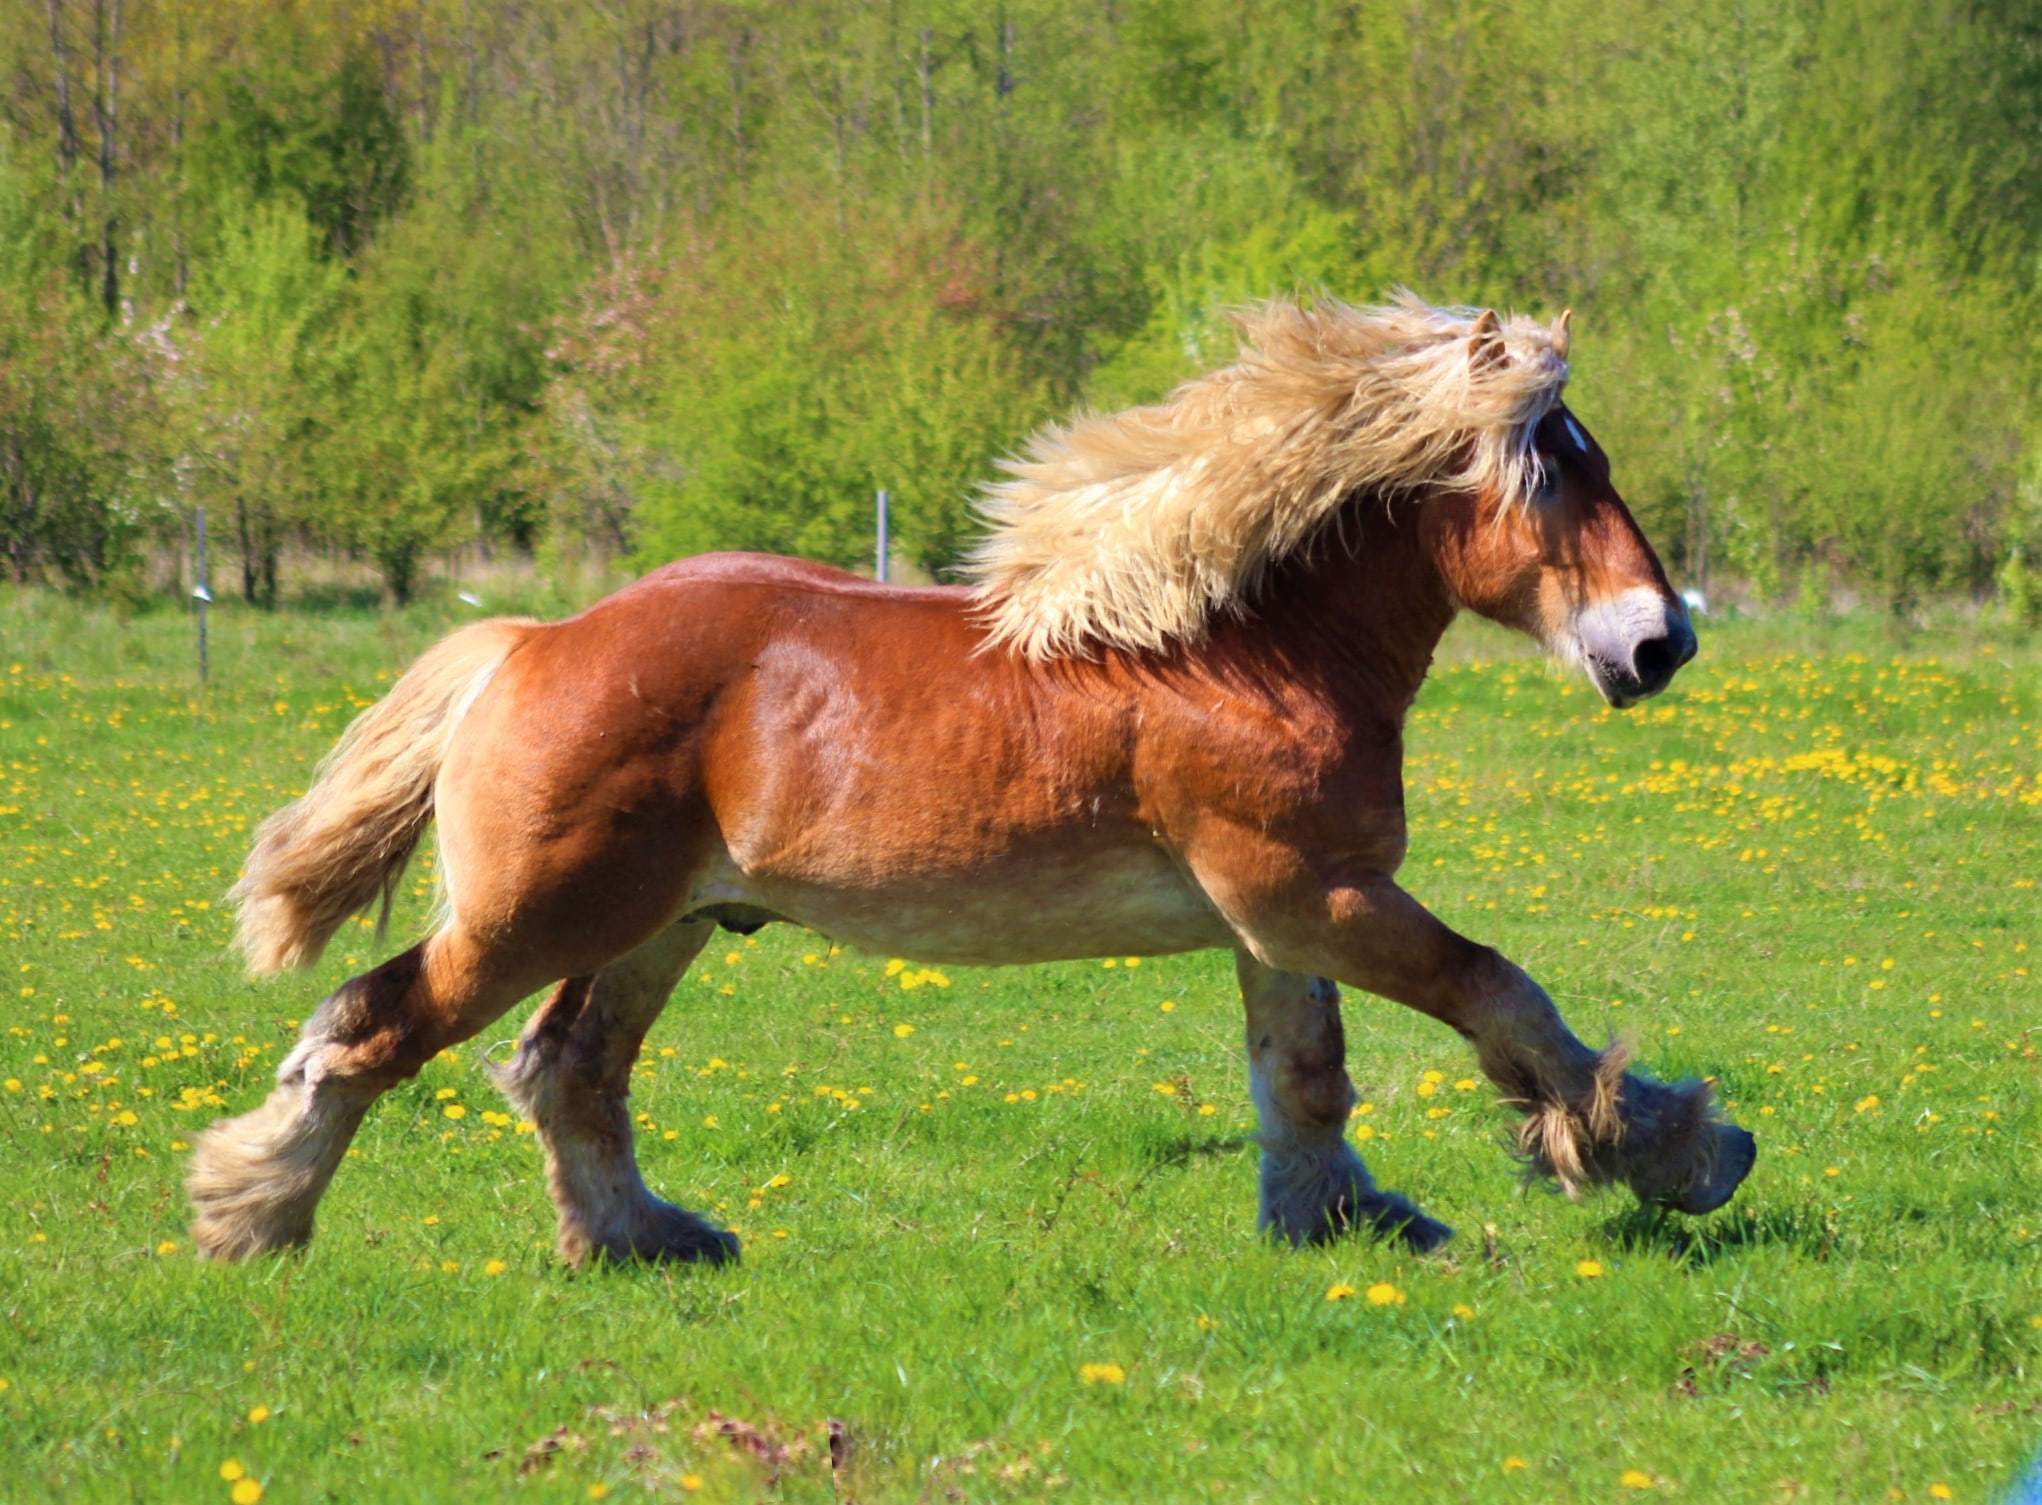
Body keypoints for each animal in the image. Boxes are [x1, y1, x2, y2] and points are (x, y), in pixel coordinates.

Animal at [187, 287, 1756, 1266]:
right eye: (1550, 469)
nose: (1657, 643)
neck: (1240, 650)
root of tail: (530, 643)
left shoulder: (1281, 913)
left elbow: (1302, 1075)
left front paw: (1343, 1219)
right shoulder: (1311, 892)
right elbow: (1495, 990)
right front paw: (1664, 1147)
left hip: (662, 922)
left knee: (566, 1065)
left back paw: (646, 1238)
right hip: (536, 914)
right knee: (373, 1024)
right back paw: (251, 1212)